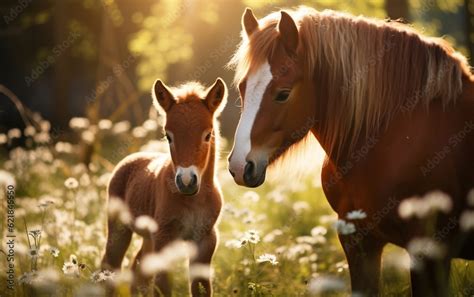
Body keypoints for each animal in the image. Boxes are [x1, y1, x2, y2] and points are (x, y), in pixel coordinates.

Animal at [101, 77, 227, 294]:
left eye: (207, 135)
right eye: (168, 136)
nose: (186, 181)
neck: (193, 200)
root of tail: (131, 157)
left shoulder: (206, 239)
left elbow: (200, 287)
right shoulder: (164, 237)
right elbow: (162, 287)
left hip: (148, 238)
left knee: (137, 270)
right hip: (119, 228)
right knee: (110, 264)